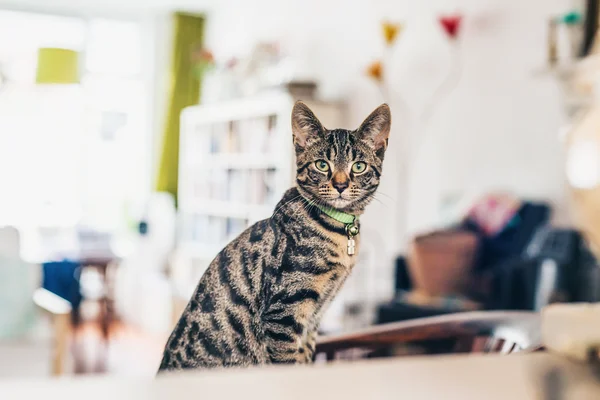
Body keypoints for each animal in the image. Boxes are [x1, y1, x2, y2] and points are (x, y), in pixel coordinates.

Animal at [159, 101, 392, 370]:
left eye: (358, 166)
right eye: (322, 165)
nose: (341, 185)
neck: (336, 228)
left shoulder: (313, 321)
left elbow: (306, 358)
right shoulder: (283, 314)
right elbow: (288, 365)